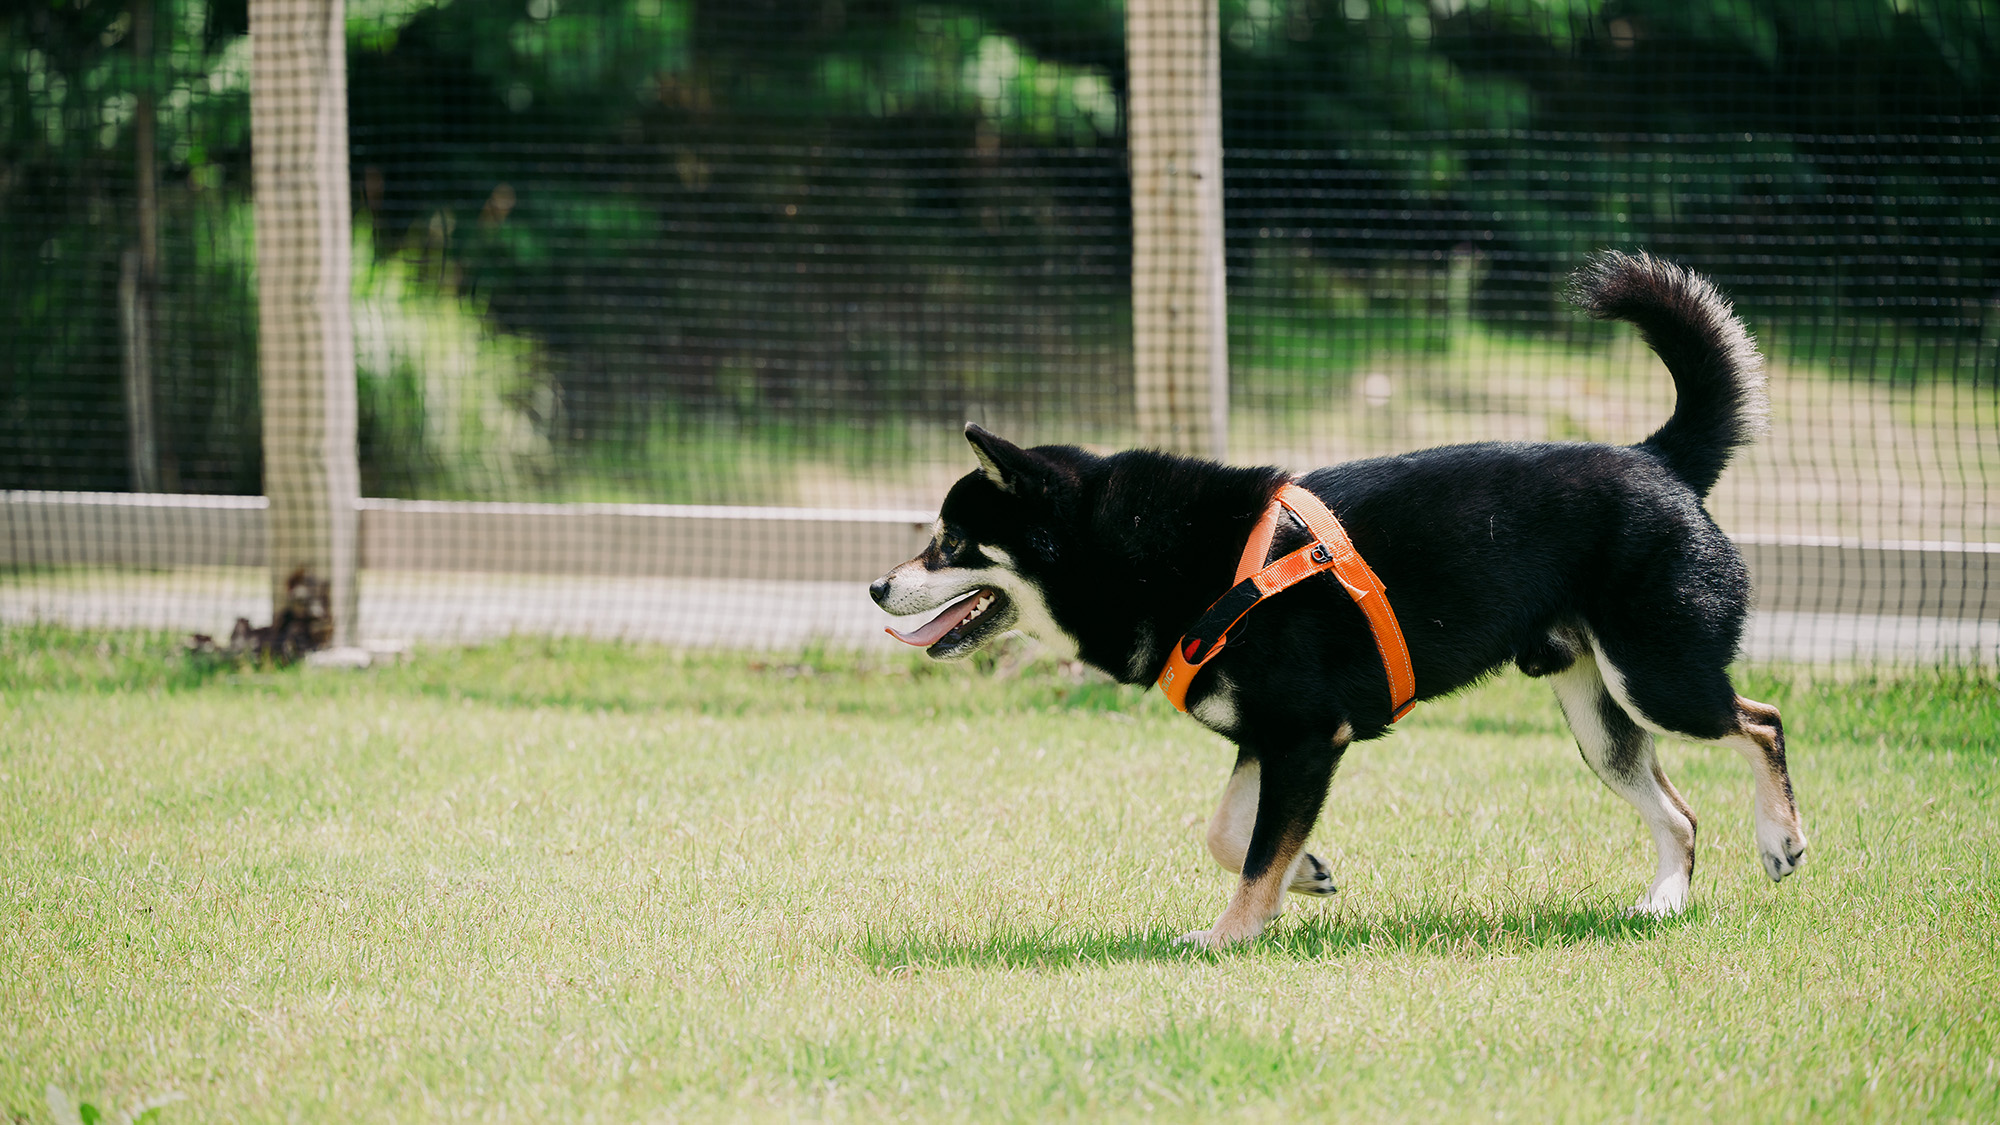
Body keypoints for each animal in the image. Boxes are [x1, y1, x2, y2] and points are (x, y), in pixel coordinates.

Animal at [868, 249, 1808, 940]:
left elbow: (1252, 855)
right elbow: (1230, 832)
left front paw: (1231, 934)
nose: (877, 585)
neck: (1160, 555)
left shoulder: (1307, 736)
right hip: (1598, 716)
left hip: (1655, 674)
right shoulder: (1275, 738)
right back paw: (1664, 901)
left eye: (950, 541)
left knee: (1761, 720)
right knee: (1680, 813)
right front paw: (1308, 874)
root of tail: (1660, 457)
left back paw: (1782, 839)